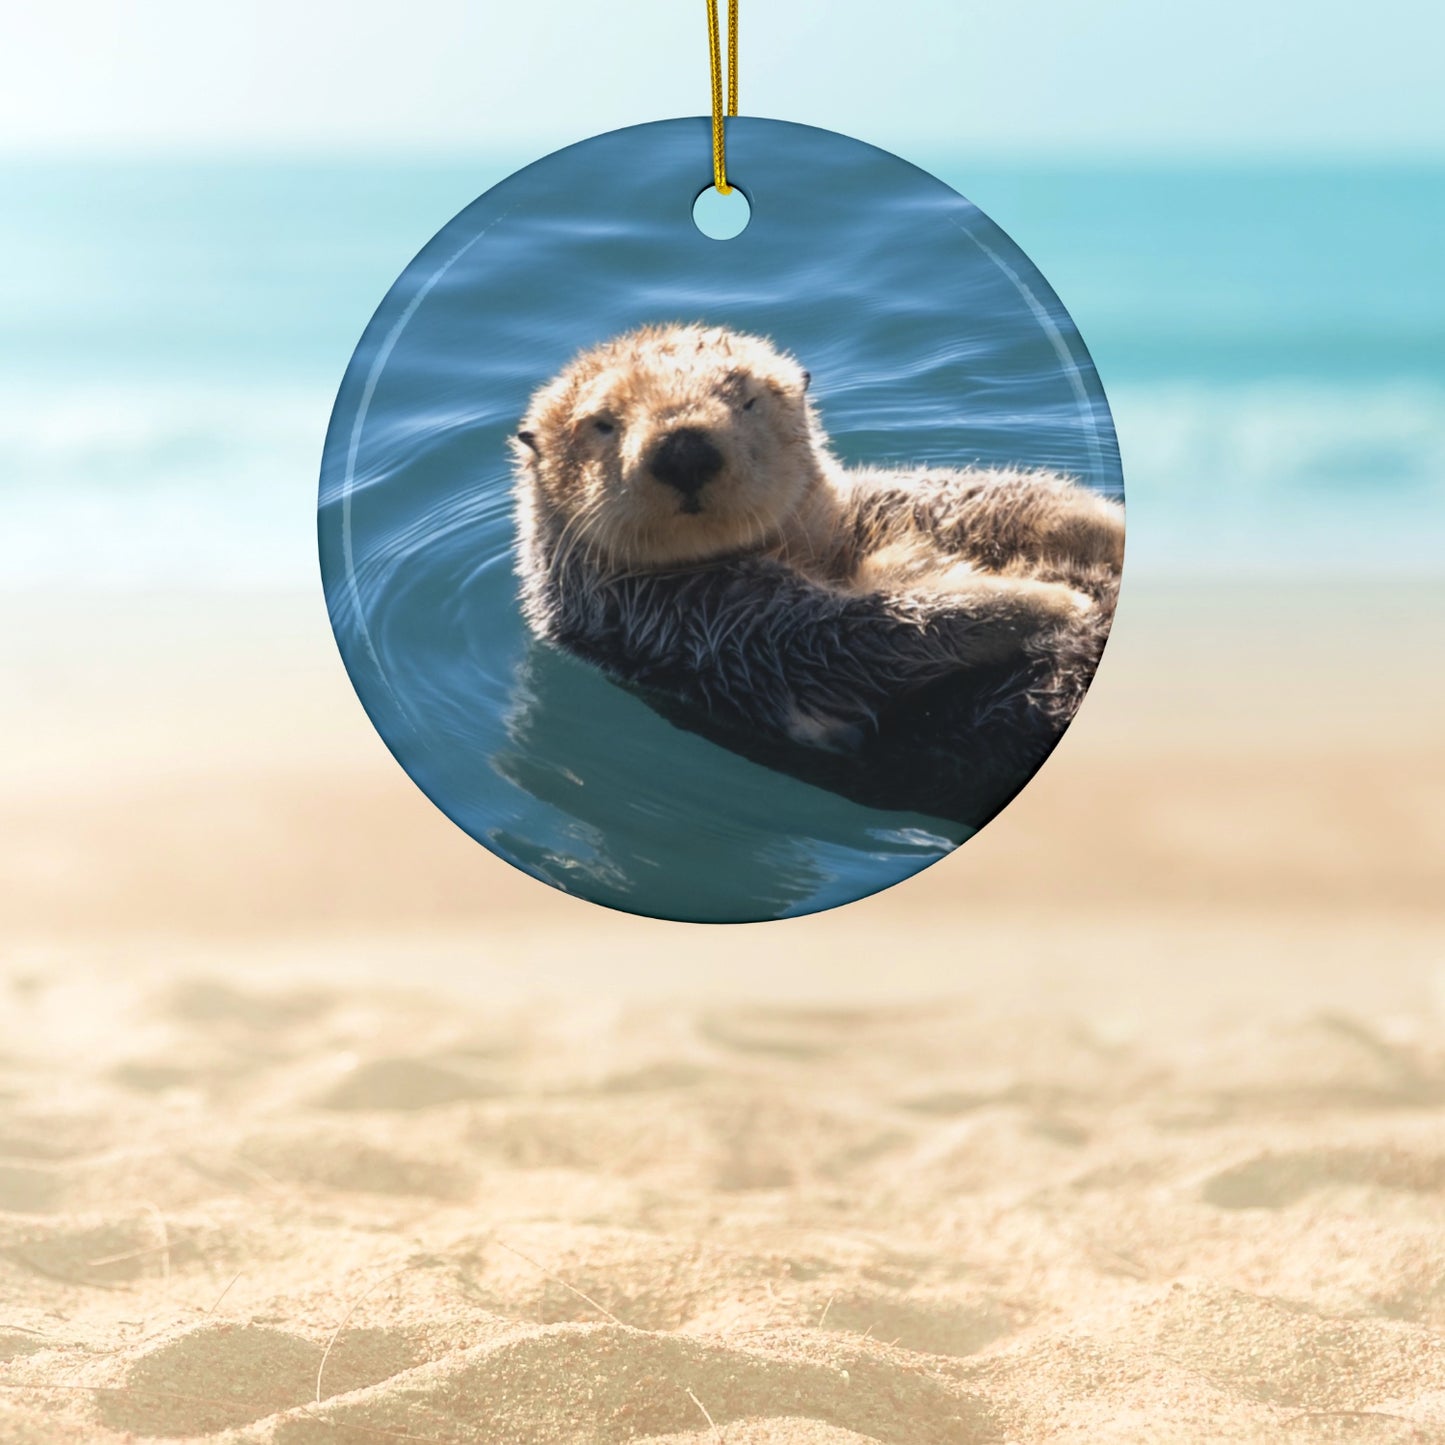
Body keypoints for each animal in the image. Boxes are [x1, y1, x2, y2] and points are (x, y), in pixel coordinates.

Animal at [511, 324, 1122, 825]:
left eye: (747, 400)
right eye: (602, 424)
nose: (684, 449)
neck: (803, 550)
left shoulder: (860, 511)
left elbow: (966, 499)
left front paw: (1097, 522)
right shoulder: (698, 624)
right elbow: (851, 635)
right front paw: (1052, 603)